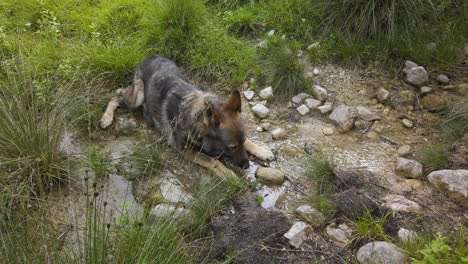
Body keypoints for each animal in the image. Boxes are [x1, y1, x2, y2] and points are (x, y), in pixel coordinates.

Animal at [100, 54, 272, 176]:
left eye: (241, 142)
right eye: (232, 147)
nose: (247, 166)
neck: (195, 115)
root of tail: (149, 56)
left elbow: (249, 142)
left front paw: (261, 150)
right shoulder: (184, 149)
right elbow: (212, 161)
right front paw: (228, 174)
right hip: (137, 96)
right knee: (115, 97)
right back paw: (106, 118)